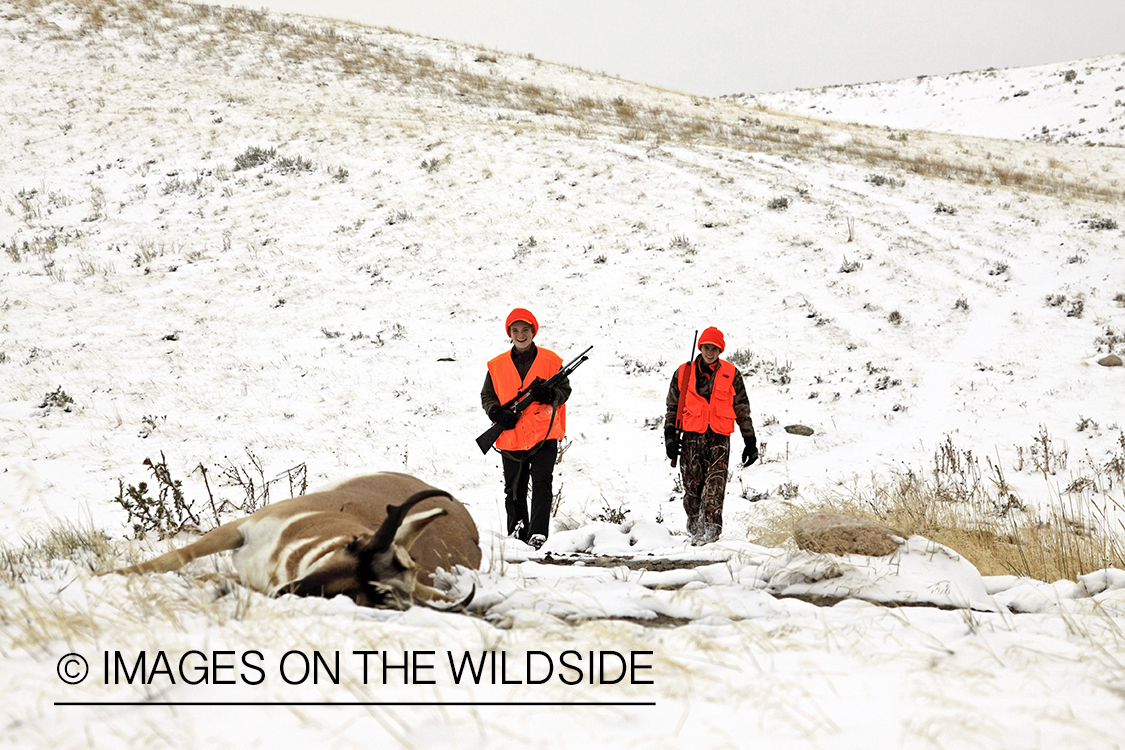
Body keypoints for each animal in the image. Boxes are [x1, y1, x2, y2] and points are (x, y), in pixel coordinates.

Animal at [113, 472, 481, 609]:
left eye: (376, 596)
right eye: (353, 545)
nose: (291, 590)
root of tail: (467, 522)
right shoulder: (239, 529)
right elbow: (174, 558)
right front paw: (106, 576)